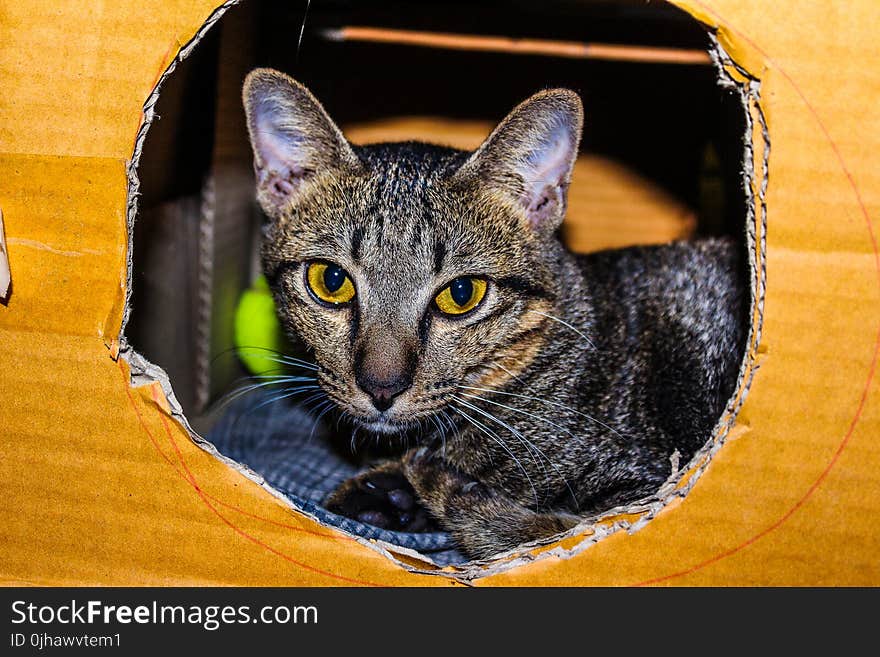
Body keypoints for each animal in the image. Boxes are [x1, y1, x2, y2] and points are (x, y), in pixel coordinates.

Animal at [242, 68, 748, 560]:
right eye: (331, 281)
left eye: (462, 293)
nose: (381, 388)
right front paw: (386, 495)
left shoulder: (644, 487)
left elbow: (540, 530)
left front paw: (422, 486)